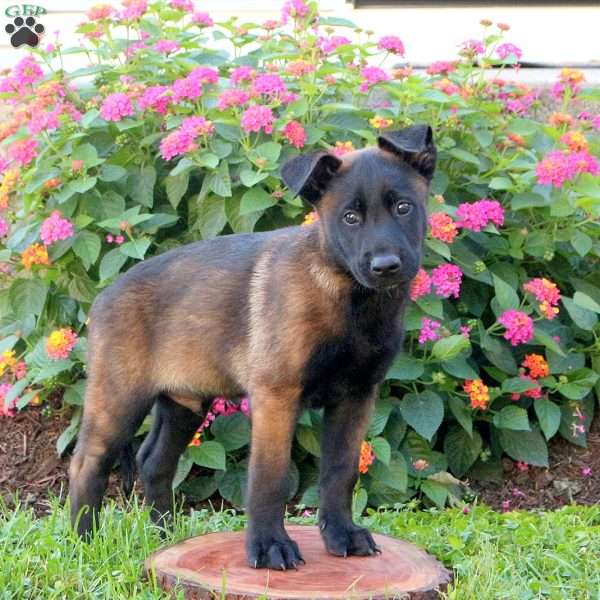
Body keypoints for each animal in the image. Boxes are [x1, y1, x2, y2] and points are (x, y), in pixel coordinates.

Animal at [69, 123, 436, 572]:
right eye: (350, 218)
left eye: (403, 207)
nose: (385, 266)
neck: (348, 296)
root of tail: (102, 296)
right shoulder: (276, 395)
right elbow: (269, 477)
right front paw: (269, 546)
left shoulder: (357, 396)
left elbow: (340, 471)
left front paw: (342, 535)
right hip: (119, 395)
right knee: (88, 462)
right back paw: (84, 543)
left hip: (184, 402)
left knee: (154, 462)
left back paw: (164, 535)